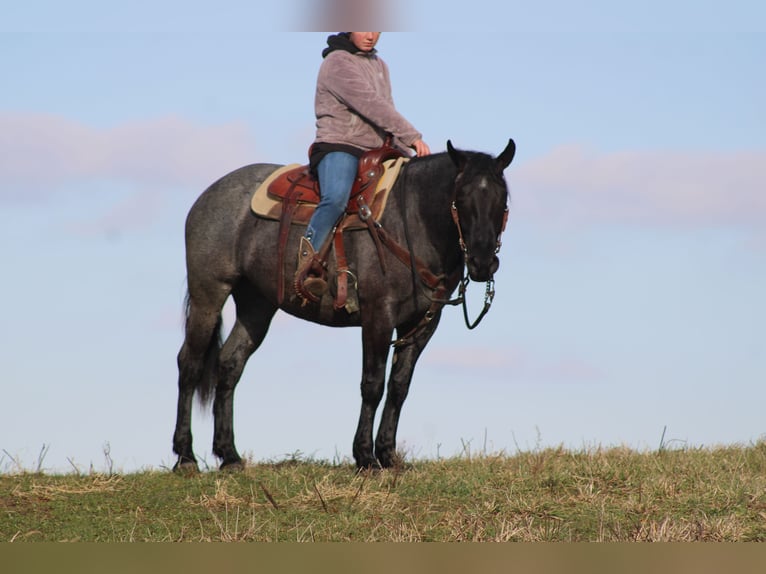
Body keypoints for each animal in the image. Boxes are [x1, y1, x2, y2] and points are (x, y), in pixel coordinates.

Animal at [172, 138, 516, 471]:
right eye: (461, 198)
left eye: (502, 199)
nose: (482, 262)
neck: (411, 221)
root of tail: (208, 196)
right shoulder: (379, 315)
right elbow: (373, 384)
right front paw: (365, 457)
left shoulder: (422, 324)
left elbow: (399, 387)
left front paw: (388, 455)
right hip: (208, 294)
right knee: (190, 364)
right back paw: (185, 457)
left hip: (256, 305)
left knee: (229, 365)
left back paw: (229, 456)